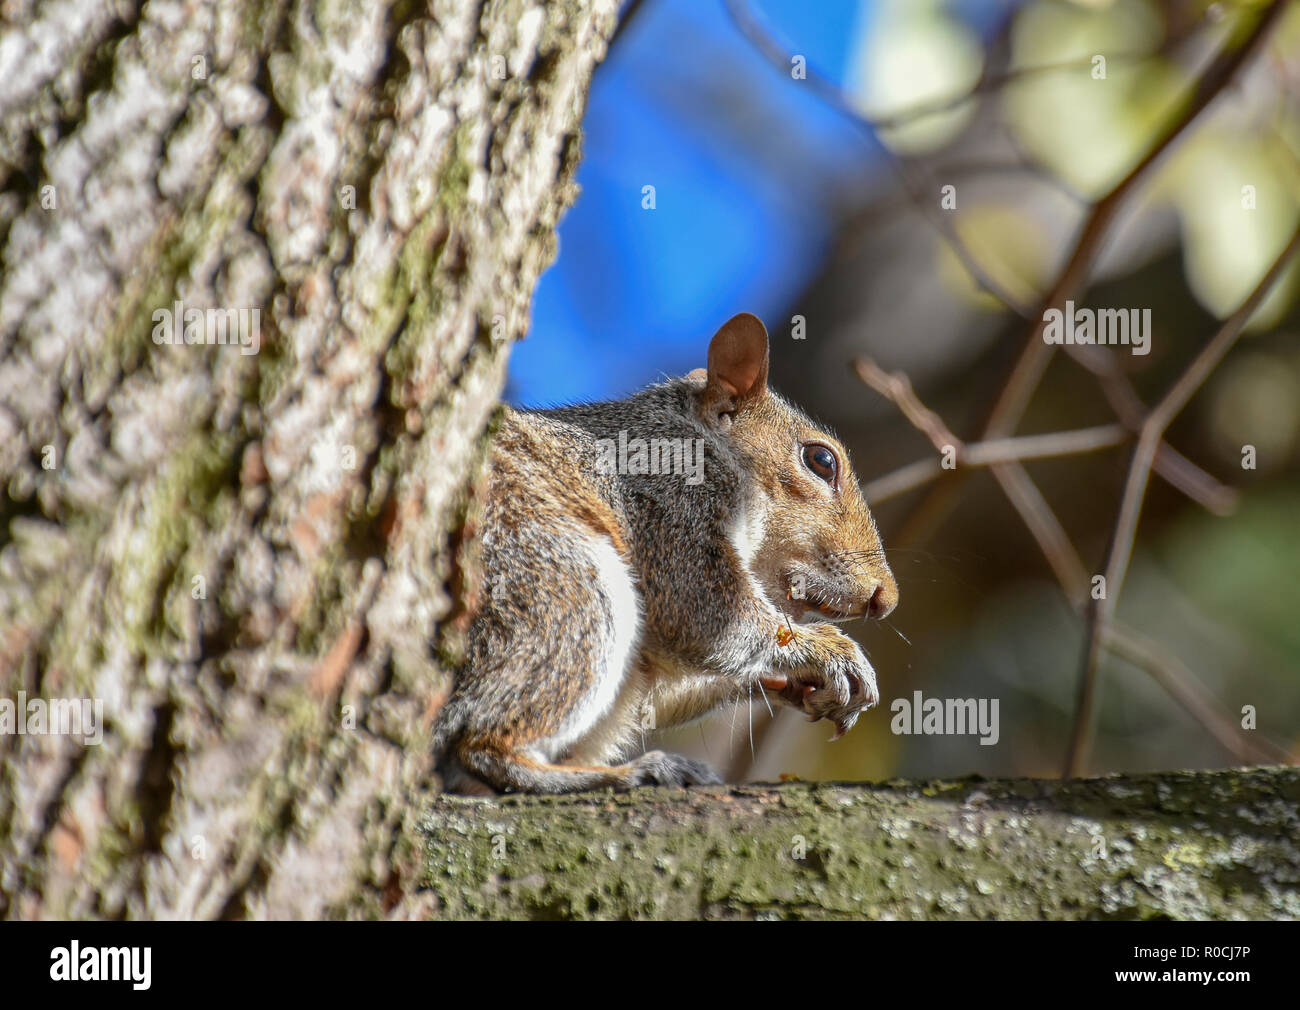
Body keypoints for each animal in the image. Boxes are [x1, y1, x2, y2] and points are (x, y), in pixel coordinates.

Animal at [433, 312, 899, 794]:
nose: (886, 598)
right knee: (484, 748)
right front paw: (830, 651)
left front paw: (799, 683)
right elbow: (703, 617)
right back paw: (622, 772)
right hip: (557, 588)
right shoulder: (669, 501)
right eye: (821, 461)